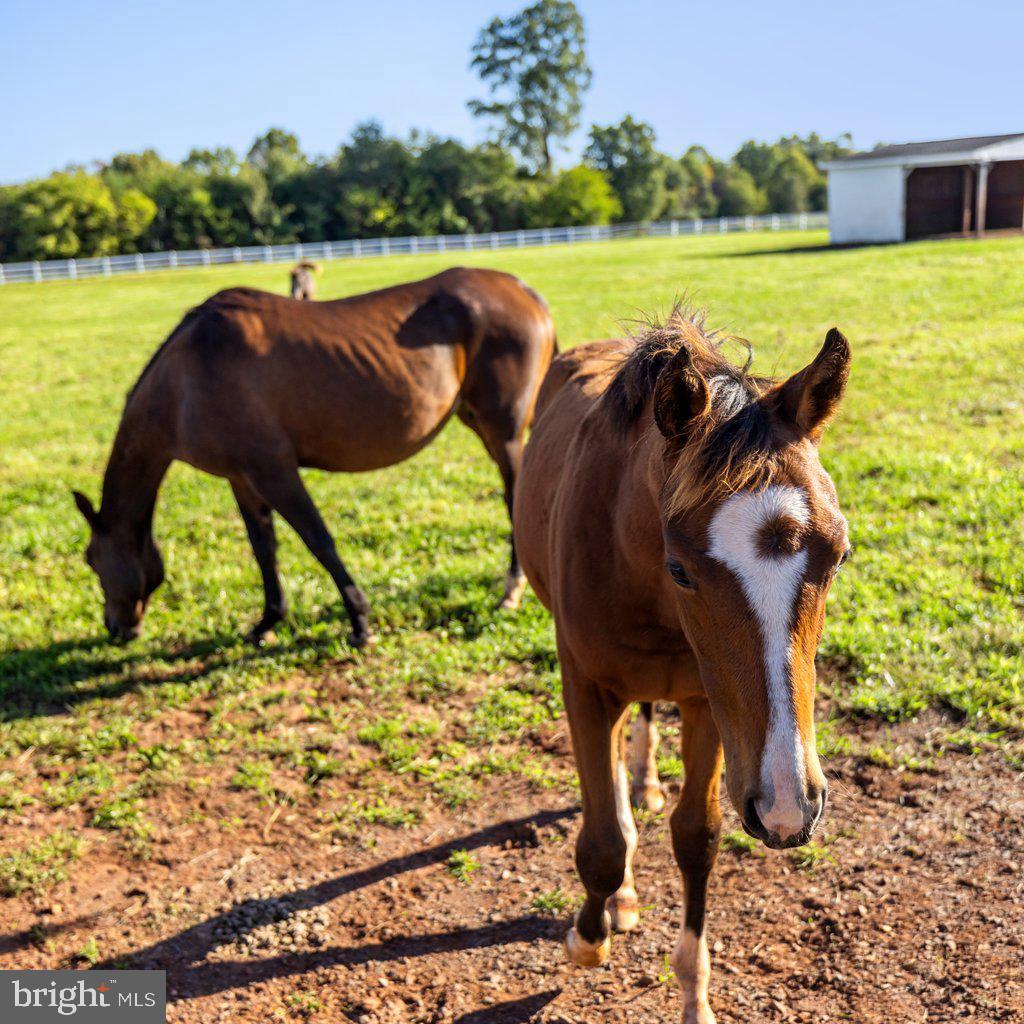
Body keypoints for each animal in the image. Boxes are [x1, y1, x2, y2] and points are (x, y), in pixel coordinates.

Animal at [73, 268, 557, 643]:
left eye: (92, 560)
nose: (115, 628)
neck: (186, 379)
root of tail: (522, 289)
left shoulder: (274, 471)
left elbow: (318, 541)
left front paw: (359, 621)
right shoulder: (241, 477)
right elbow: (263, 548)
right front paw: (268, 621)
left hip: (503, 432)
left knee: (514, 498)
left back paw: (511, 589)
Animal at [516, 307, 851, 1019]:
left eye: (838, 555)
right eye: (681, 570)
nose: (792, 808)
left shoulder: (708, 702)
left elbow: (698, 836)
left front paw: (695, 997)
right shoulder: (582, 684)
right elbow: (603, 841)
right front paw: (589, 936)